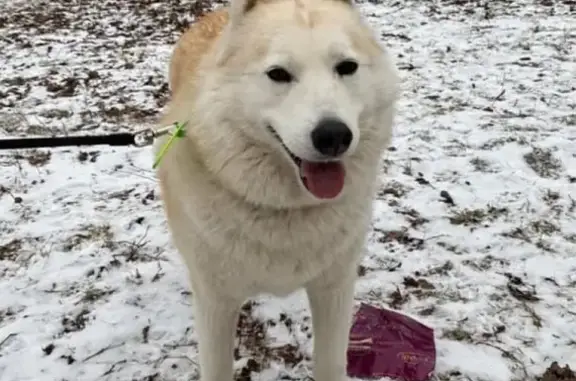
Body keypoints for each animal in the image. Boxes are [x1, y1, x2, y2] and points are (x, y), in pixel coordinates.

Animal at [155, 0, 400, 378]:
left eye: (346, 67)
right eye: (279, 74)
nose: (334, 136)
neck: (287, 211)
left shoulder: (335, 289)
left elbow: (331, 364)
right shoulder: (215, 303)